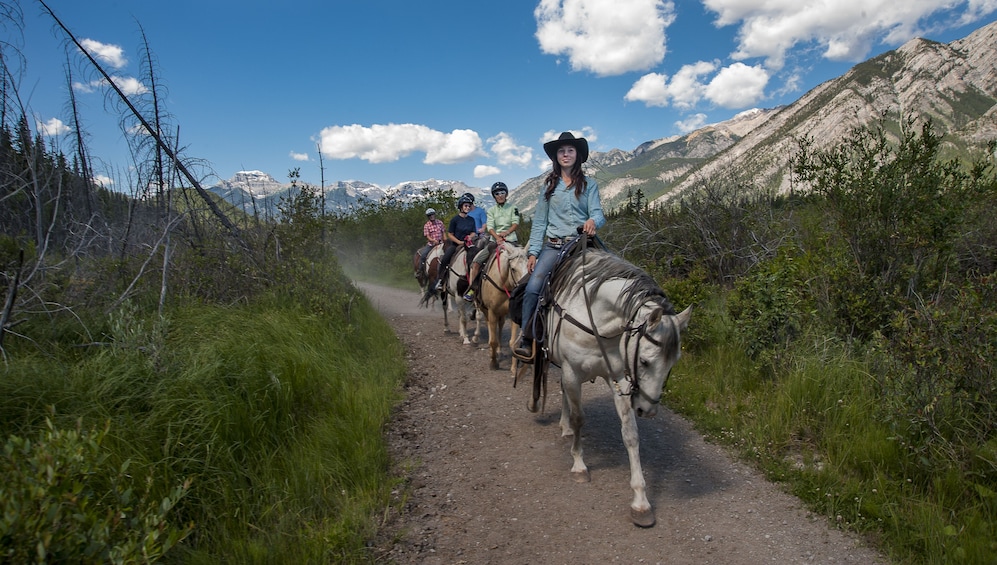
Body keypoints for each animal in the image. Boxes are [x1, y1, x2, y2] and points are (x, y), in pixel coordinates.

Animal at [532, 240, 688, 528]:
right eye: (645, 361)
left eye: (674, 363)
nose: (648, 411)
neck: (597, 320)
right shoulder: (571, 371)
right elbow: (580, 418)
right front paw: (579, 465)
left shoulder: (619, 378)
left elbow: (630, 433)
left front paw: (640, 501)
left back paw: (564, 426)